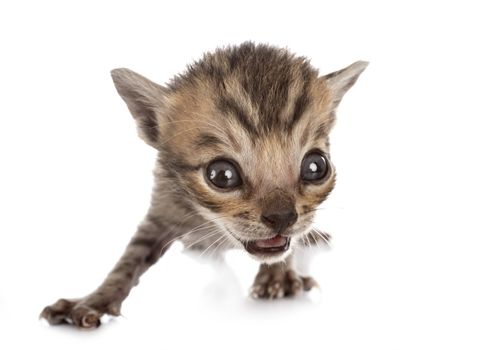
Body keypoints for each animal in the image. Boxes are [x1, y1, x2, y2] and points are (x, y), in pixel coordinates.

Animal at [41, 41, 366, 328]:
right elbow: (129, 259)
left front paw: (279, 276)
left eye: (315, 166)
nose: (283, 217)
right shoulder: (162, 210)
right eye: (222, 175)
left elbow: (289, 247)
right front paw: (94, 300)